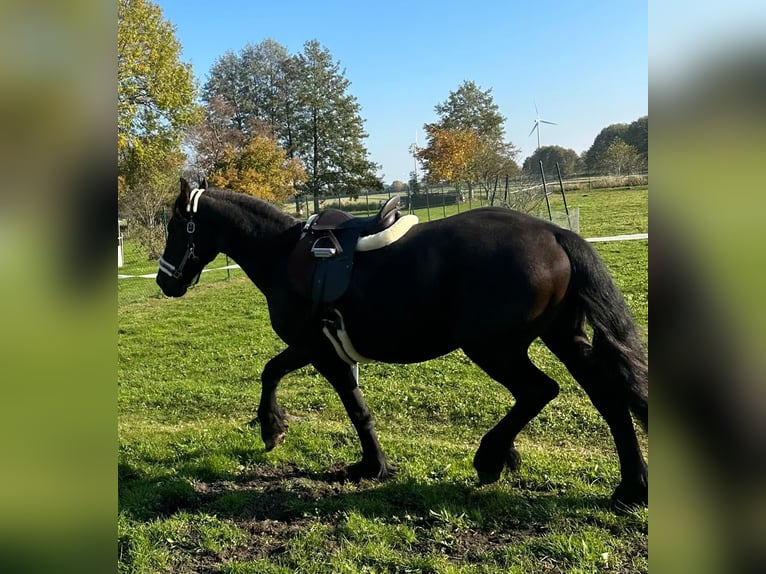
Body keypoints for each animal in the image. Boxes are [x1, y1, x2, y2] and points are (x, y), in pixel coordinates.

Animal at [156, 179, 648, 508]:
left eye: (176, 227)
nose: (164, 281)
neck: (282, 255)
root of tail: (554, 233)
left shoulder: (318, 349)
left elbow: (346, 405)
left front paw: (364, 462)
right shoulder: (317, 349)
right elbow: (284, 375)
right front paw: (280, 429)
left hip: (494, 349)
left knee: (539, 391)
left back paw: (491, 456)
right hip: (562, 337)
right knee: (608, 396)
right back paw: (630, 487)